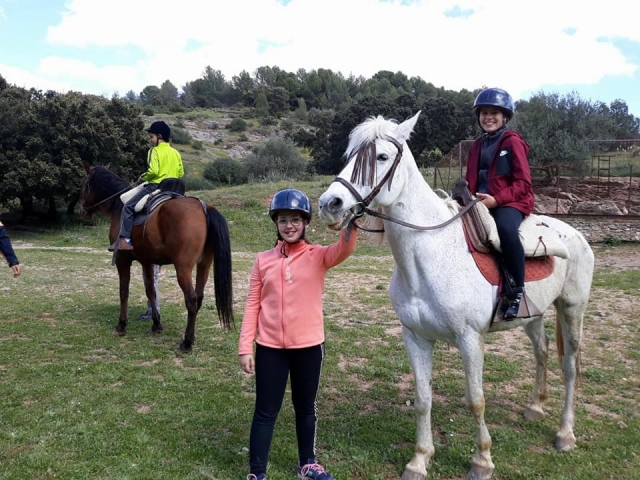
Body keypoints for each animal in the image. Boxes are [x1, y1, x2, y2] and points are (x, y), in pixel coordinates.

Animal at [80, 162, 234, 352]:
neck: (119, 206)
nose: (82, 210)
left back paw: (187, 342)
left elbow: (124, 292)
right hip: (204, 265)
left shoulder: (123, 260)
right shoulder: (147, 261)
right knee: (198, 298)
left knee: (191, 299)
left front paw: (121, 325)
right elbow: (151, 292)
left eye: (84, 184)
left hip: (183, 268)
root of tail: (204, 209)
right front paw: (156, 324)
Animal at [317, 112, 594, 480]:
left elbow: (476, 400)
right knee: (542, 350)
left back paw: (565, 434)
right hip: (532, 316)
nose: (329, 204)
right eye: (351, 157)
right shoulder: (415, 336)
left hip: (572, 308)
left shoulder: (469, 338)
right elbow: (422, 398)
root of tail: (575, 233)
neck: (429, 255)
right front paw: (419, 460)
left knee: (570, 365)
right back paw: (535, 407)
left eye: (382, 157)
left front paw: (482, 461)